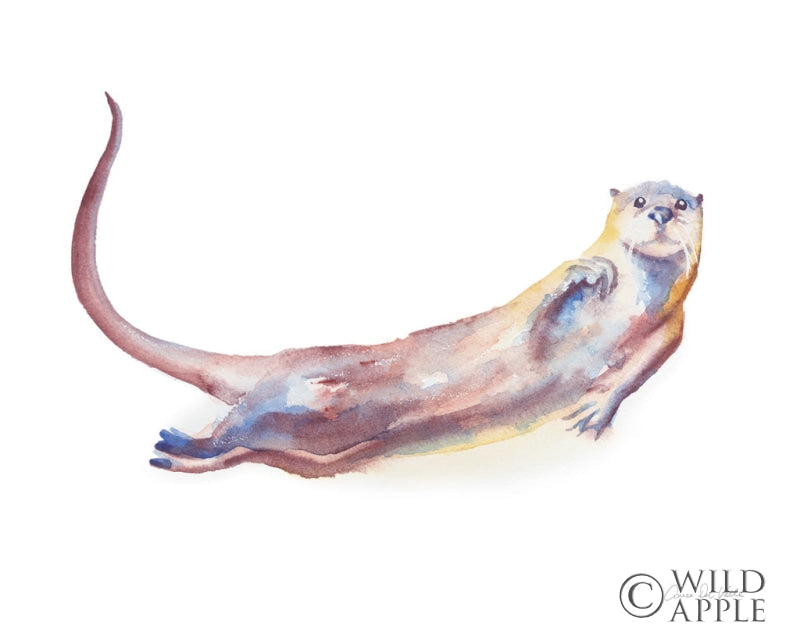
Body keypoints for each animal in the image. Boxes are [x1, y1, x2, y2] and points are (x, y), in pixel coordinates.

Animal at [73, 94, 703, 477]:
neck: (632, 303)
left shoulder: (673, 322)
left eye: (682, 203)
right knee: (239, 423)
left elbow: (647, 362)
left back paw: (179, 453)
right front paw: (586, 275)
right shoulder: (534, 302)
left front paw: (599, 405)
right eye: (639, 201)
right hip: (303, 397)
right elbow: (533, 317)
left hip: (319, 432)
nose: (661, 214)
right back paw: (181, 443)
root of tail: (282, 360)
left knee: (247, 439)